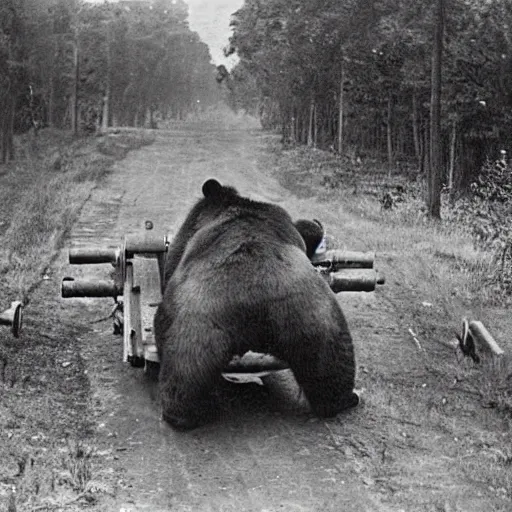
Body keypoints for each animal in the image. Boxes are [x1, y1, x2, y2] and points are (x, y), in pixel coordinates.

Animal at [154, 178, 358, 430]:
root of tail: (256, 304)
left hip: (196, 324)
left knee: (184, 375)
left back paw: (183, 413)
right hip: (318, 321)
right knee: (330, 369)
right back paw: (341, 400)